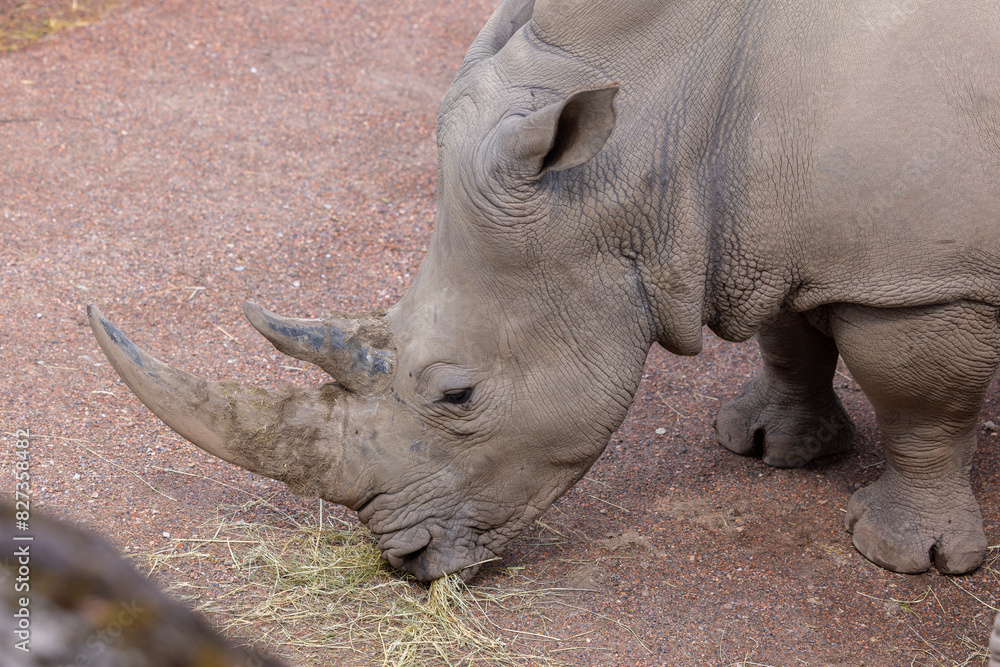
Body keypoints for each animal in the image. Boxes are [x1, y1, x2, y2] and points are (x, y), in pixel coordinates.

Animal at [89, 0, 1000, 581]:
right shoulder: (765, 220)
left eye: (457, 394)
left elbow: (920, 403)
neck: (650, 132)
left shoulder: (919, 280)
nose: (402, 561)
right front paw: (769, 447)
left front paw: (905, 559)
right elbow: (788, 331)